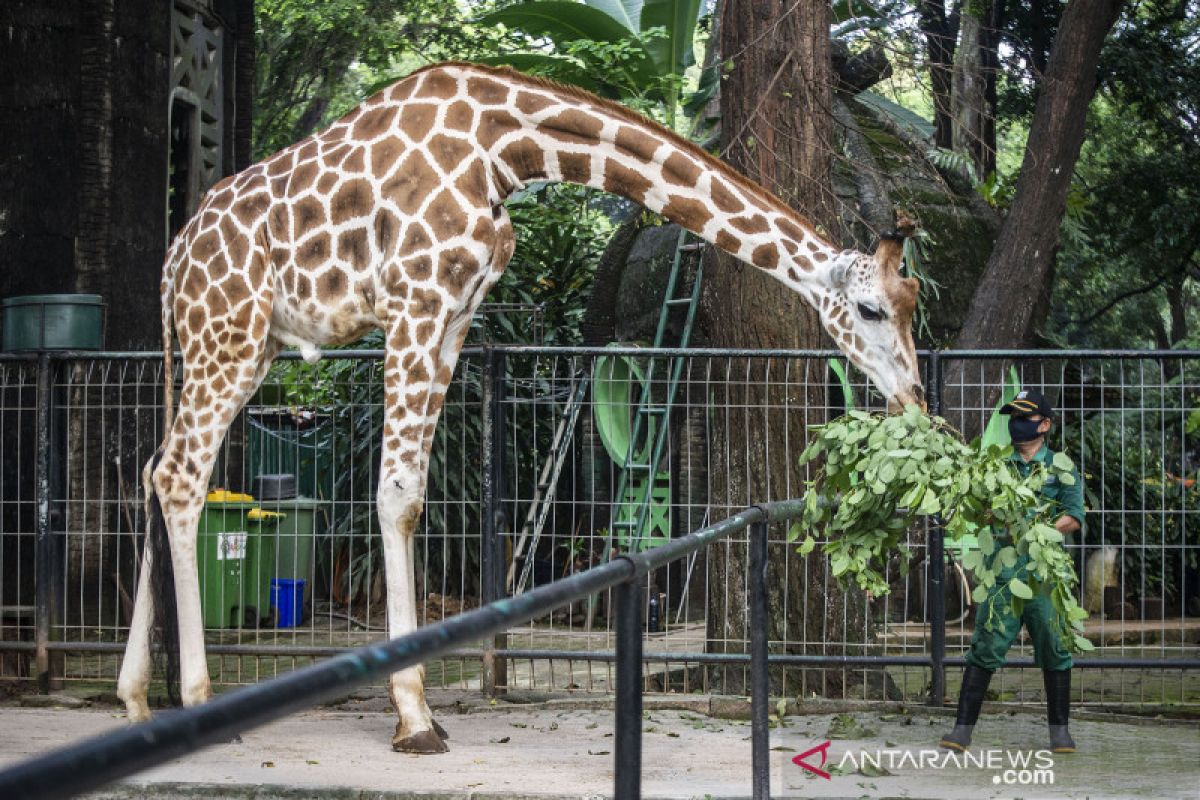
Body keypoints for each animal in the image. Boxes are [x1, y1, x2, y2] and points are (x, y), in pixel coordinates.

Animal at [117, 59, 926, 753]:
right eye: (870, 309)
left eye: (913, 304)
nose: (913, 398)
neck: (505, 147)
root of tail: (171, 262)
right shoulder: (415, 303)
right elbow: (398, 492)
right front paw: (414, 716)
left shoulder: (455, 317)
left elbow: (412, 496)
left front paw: (416, 707)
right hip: (226, 333)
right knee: (182, 474)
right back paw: (194, 700)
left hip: (242, 346)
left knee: (157, 468)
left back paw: (135, 697)